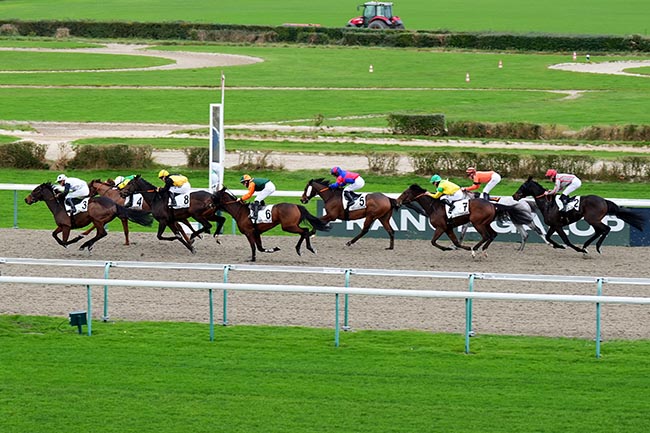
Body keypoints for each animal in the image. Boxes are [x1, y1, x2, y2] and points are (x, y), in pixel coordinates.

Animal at [24, 181, 153, 250]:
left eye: (36, 190)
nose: (26, 199)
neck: (58, 206)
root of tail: (114, 204)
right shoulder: (61, 226)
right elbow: (54, 235)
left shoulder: (66, 226)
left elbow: (65, 241)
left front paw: (77, 238)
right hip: (100, 220)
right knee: (99, 233)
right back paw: (88, 244)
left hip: (97, 219)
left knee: (102, 233)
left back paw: (85, 244)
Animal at [394, 183, 532, 256]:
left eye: (405, 193)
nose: (397, 201)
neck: (434, 207)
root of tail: (493, 205)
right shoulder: (448, 228)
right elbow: (456, 242)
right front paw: (452, 247)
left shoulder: (440, 227)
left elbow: (433, 241)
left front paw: (451, 248)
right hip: (486, 223)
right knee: (493, 235)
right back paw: (483, 250)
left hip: (477, 223)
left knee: (486, 236)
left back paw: (475, 249)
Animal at [512, 177, 644, 255]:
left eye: (522, 186)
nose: (514, 196)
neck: (548, 204)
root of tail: (604, 201)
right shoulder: (554, 225)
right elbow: (548, 237)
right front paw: (558, 246)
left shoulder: (557, 225)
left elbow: (566, 240)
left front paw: (573, 248)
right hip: (592, 220)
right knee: (599, 231)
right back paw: (586, 246)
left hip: (592, 219)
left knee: (606, 229)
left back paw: (596, 247)